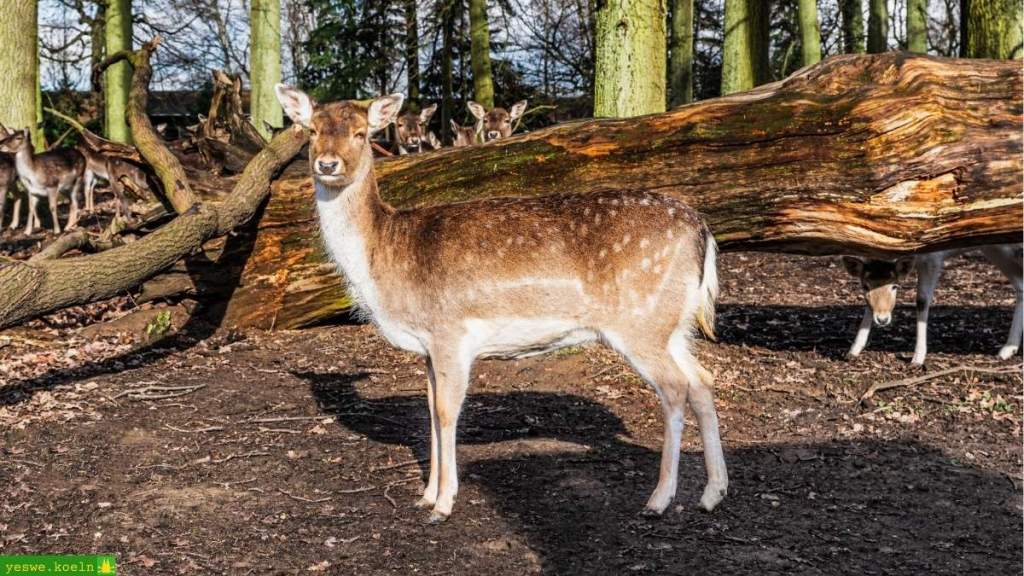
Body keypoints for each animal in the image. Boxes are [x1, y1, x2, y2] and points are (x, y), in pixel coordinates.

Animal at [274, 85, 728, 523]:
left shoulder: (450, 332)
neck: (383, 260)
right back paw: (713, 493)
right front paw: (425, 495)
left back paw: (659, 499)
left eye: (361, 133)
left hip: (640, 322)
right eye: (311, 131)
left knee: (675, 388)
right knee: (702, 380)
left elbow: (446, 413)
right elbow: (430, 410)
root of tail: (703, 233)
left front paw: (443, 504)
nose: (327, 164)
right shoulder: (428, 347)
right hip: (673, 324)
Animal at [842, 245, 1023, 365]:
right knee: (1020, 285)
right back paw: (1008, 349)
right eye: (865, 286)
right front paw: (853, 350)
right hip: (994, 249)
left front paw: (918, 358)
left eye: (895, 286)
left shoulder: (933, 259)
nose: (882, 319)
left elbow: (922, 300)